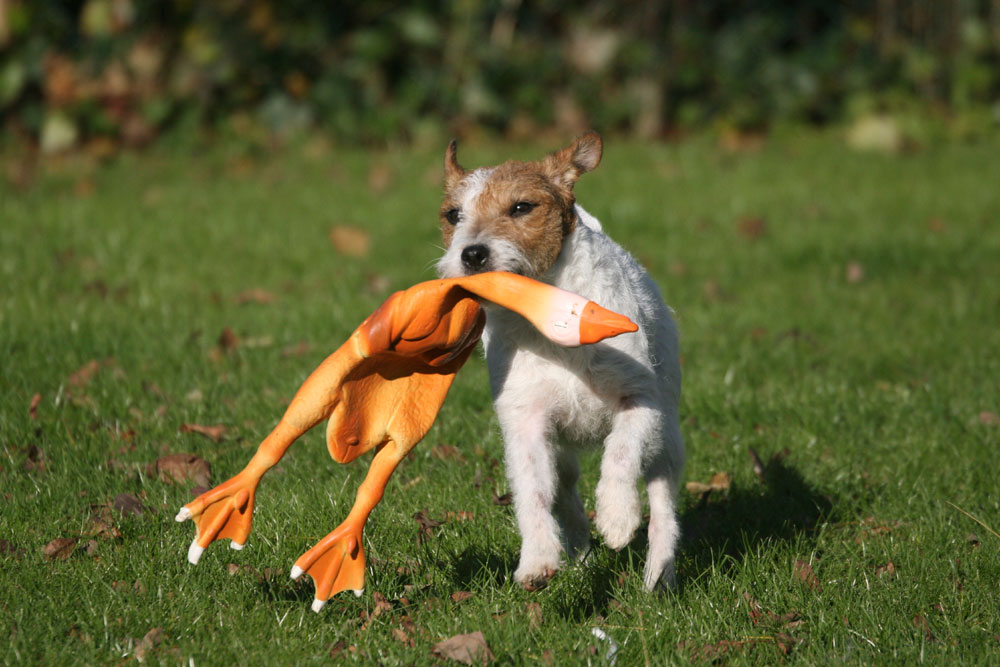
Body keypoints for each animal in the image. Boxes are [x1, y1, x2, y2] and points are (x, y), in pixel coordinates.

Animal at [434, 133, 684, 592]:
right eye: (453, 214)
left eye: (521, 207)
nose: (472, 254)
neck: (548, 307)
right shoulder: (524, 421)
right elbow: (532, 493)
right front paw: (536, 560)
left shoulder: (641, 401)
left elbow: (621, 452)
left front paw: (617, 518)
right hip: (562, 449)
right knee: (565, 494)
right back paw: (580, 556)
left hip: (667, 442)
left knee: (663, 505)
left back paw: (657, 577)